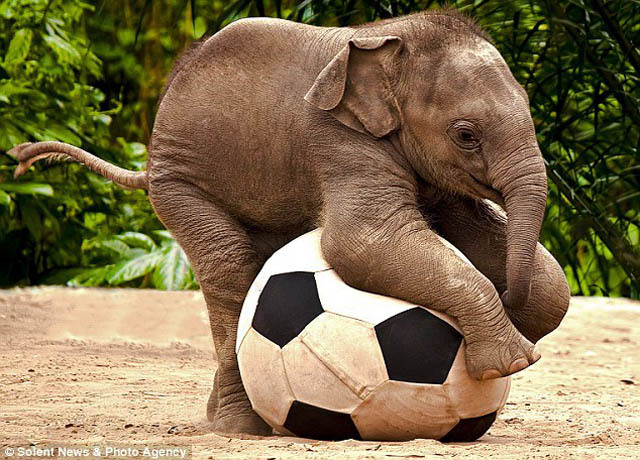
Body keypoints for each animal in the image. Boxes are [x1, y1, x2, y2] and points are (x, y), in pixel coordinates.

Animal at [10, 10, 570, 436]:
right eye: (466, 135)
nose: (509, 297)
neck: (394, 37)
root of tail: (148, 162)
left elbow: (520, 263)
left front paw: (520, 327)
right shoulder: (337, 140)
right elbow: (360, 243)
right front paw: (513, 361)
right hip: (181, 183)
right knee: (231, 270)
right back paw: (242, 428)